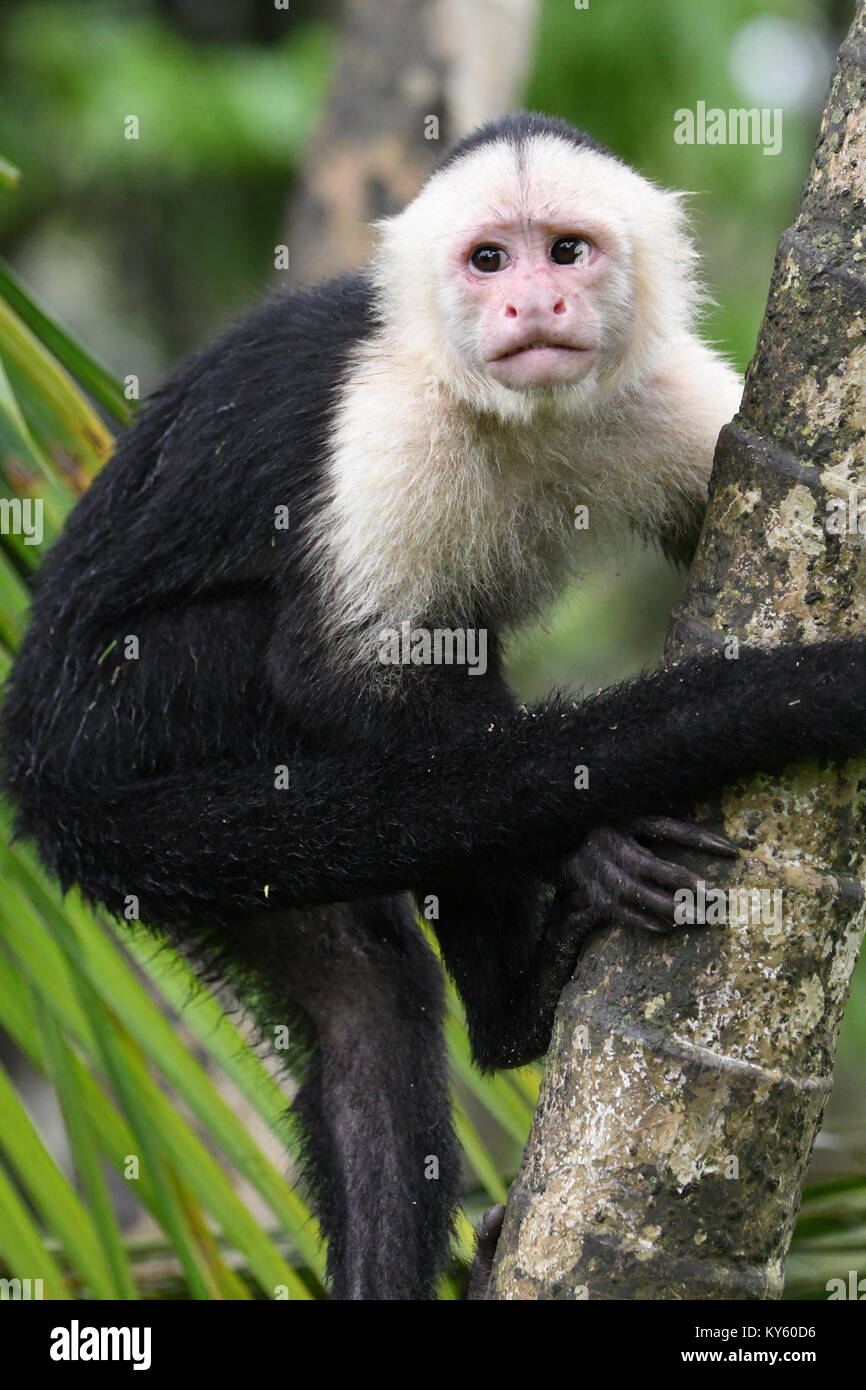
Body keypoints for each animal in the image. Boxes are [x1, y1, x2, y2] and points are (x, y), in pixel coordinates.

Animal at [1, 113, 866, 1295]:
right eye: (487, 260)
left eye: (567, 251)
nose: (532, 306)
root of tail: (42, 781)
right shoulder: (389, 419)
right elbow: (342, 674)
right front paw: (581, 843)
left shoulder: (667, 399)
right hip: (137, 716)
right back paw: (522, 1003)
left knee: (362, 1004)